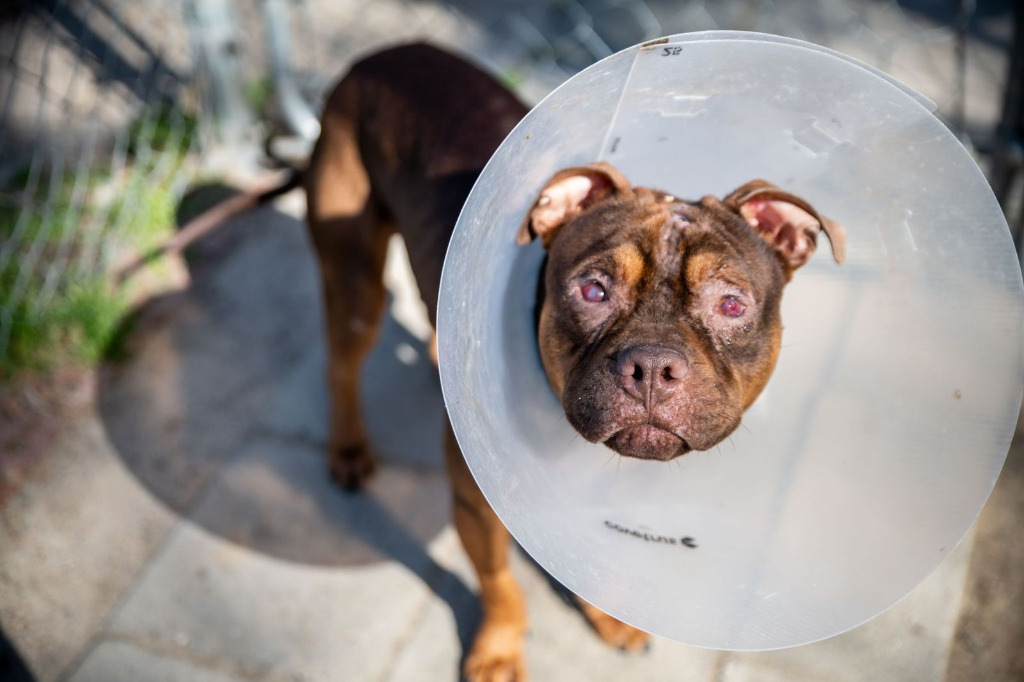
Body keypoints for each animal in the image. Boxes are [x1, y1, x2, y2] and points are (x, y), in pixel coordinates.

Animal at [305, 43, 847, 679]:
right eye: (593, 290)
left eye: (731, 304)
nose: (652, 367)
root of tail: (387, 53)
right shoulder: (476, 505)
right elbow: (499, 581)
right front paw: (499, 650)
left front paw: (609, 619)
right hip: (354, 278)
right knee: (342, 364)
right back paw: (348, 450)